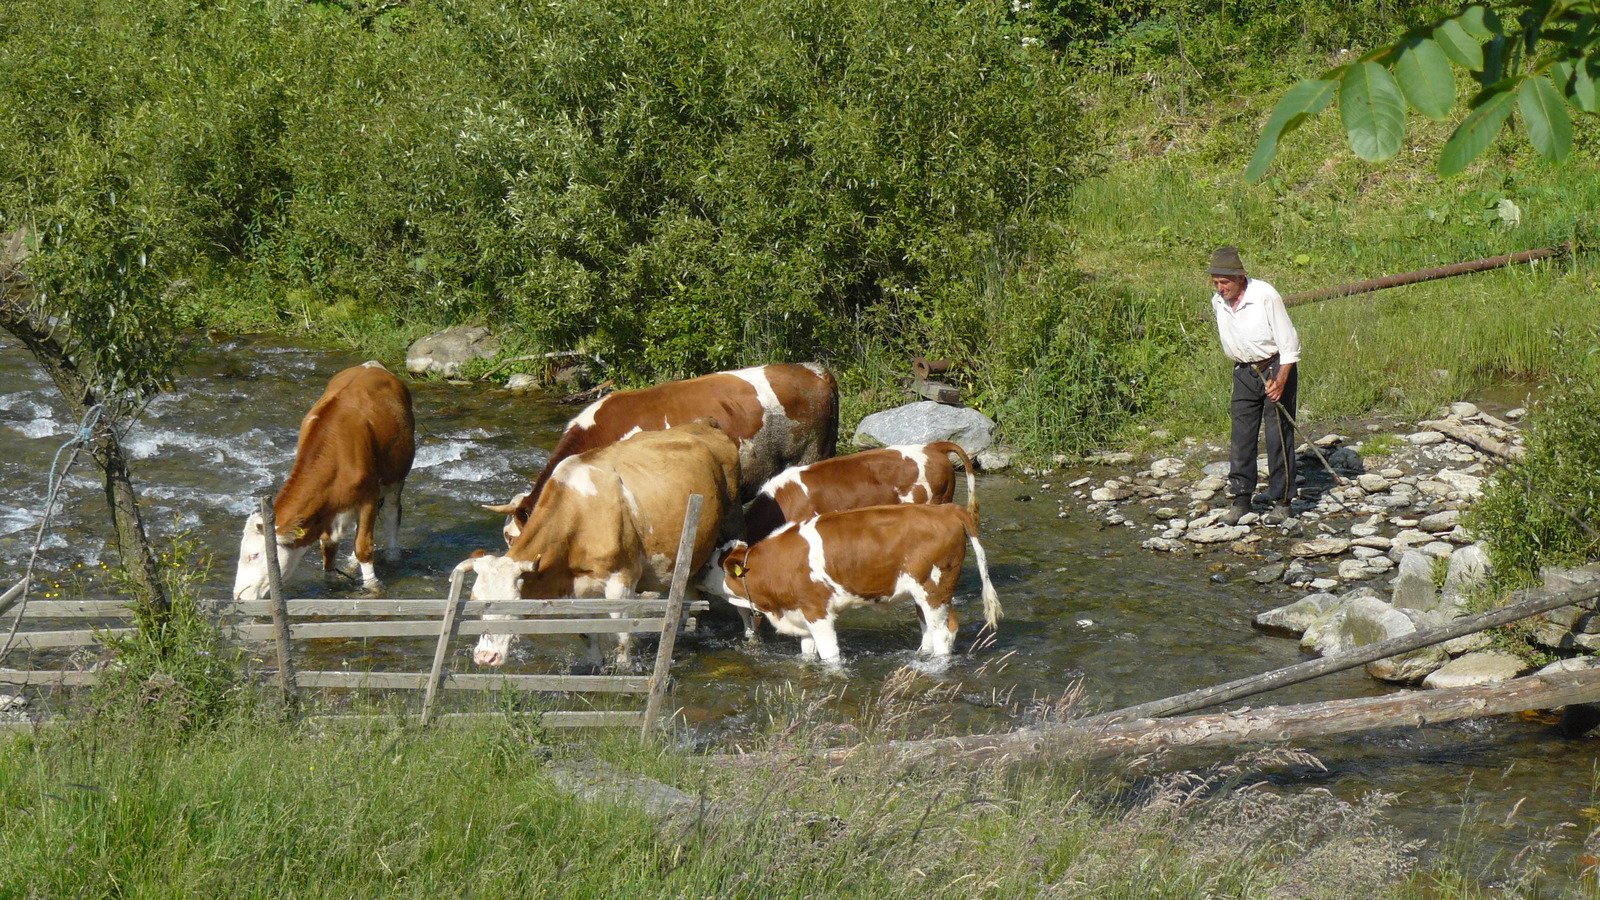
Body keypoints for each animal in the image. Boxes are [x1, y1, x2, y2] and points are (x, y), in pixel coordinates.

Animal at [233, 360, 419, 598]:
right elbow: (329, 546)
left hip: (396, 476)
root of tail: (372, 365)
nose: (238, 595)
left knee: (391, 513)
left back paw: (393, 554)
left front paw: (372, 585)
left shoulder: (368, 497)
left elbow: (364, 545)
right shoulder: (328, 509)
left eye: (254, 555)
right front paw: (330, 583)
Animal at [464, 419, 736, 666]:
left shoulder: (621, 582)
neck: (579, 518)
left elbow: (622, 633)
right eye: (475, 601)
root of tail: (704, 423)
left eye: (509, 604)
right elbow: (587, 631)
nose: (485, 657)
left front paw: (624, 669)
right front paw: (595, 665)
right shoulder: (578, 590)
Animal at [716, 499, 998, 662]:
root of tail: (947, 509)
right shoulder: (800, 614)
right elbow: (807, 652)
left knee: (943, 632)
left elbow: (830, 655)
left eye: (712, 563)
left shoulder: (817, 612)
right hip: (923, 594)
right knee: (929, 627)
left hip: (934, 588)